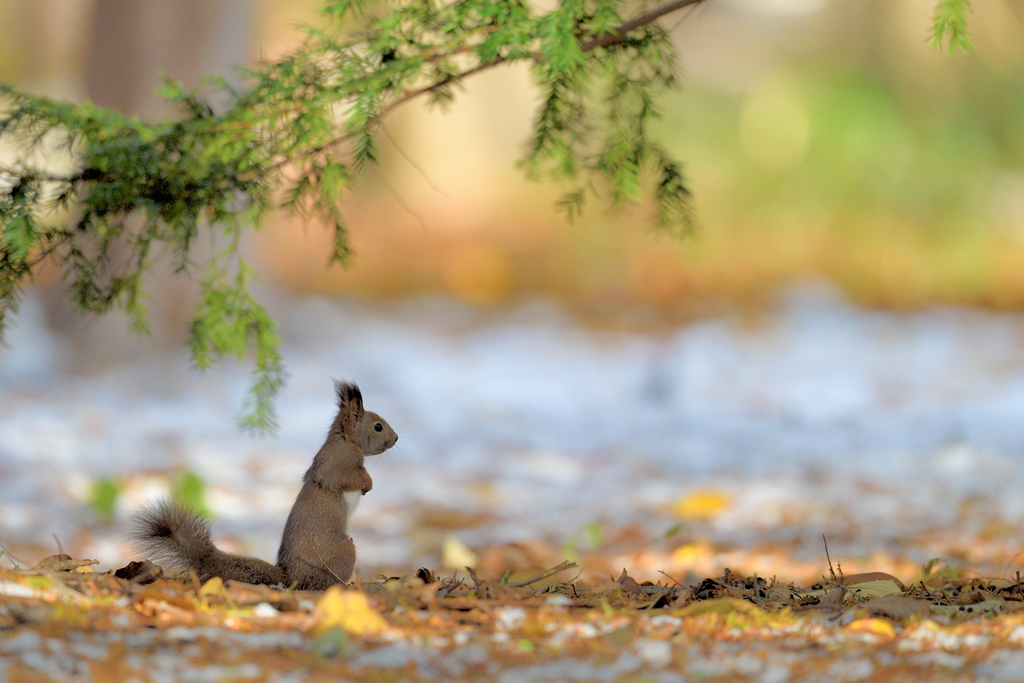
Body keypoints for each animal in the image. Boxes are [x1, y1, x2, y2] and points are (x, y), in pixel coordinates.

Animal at [129, 382, 399, 589]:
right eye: (378, 426)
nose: (396, 439)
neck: (346, 440)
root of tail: (289, 576)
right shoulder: (338, 464)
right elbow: (347, 477)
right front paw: (368, 484)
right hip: (343, 550)